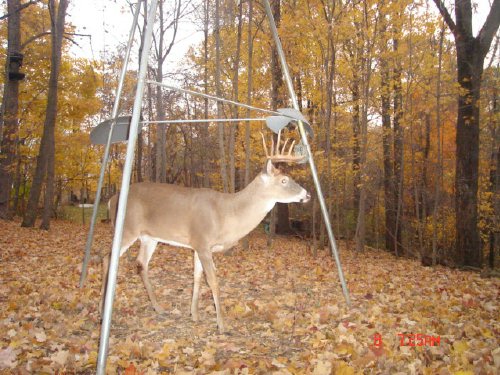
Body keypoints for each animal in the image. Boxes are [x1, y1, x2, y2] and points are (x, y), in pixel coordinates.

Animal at [99, 133, 310, 334]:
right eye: (284, 180)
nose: (307, 195)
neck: (226, 214)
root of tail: (111, 200)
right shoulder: (202, 242)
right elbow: (213, 281)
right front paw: (222, 325)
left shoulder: (197, 245)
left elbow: (197, 277)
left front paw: (194, 314)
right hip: (127, 228)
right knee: (107, 258)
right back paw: (102, 311)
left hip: (149, 237)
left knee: (140, 263)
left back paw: (158, 307)